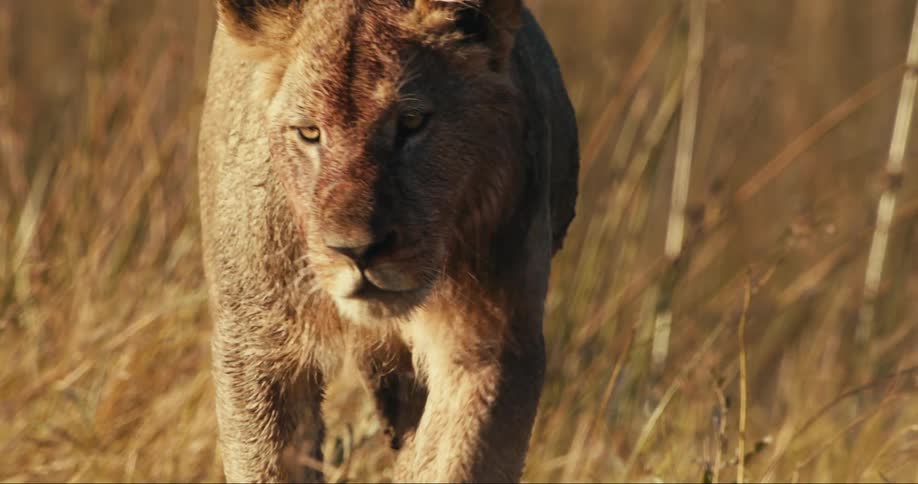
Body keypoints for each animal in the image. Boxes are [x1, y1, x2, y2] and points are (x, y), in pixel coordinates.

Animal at [197, 0, 578, 482]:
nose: (356, 251)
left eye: (412, 122)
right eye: (309, 132)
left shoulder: (487, 344)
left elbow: (456, 460)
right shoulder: (258, 343)